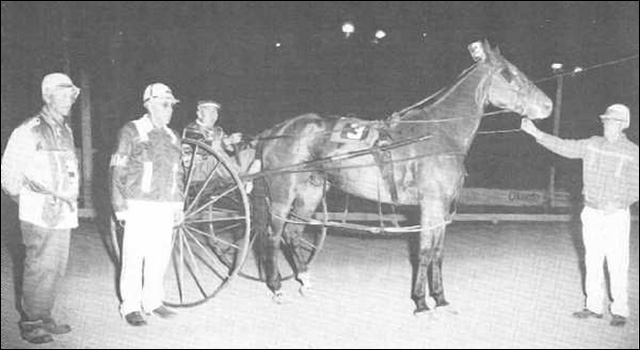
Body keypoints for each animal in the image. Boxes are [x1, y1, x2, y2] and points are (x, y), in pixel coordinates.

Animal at [252, 41, 552, 314]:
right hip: (282, 195)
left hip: (311, 192)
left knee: (292, 233)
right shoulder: (430, 204)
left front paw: (440, 298)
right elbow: (425, 251)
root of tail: (275, 130)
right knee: (273, 236)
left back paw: (305, 280)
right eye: (508, 73)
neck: (438, 133)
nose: (548, 105)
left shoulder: (442, 208)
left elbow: (438, 252)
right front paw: (420, 302)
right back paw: (277, 287)